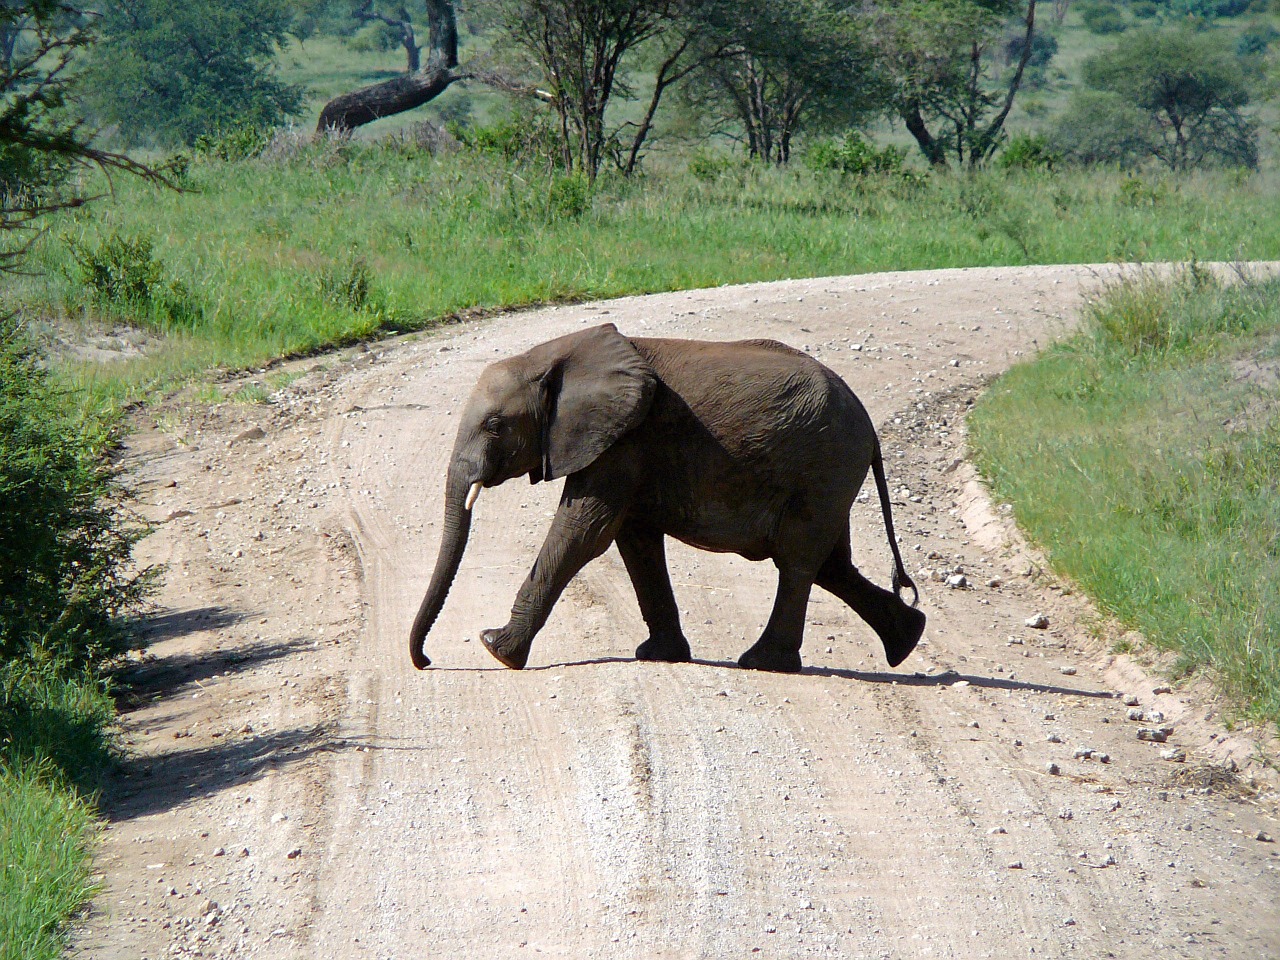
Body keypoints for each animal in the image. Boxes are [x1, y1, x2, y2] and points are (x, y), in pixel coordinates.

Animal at [409, 323, 921, 675]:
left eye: (495, 426)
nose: (427, 661)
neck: (555, 353)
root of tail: (869, 425)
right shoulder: (626, 448)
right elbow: (635, 543)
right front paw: (659, 656)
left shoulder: (622, 441)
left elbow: (582, 533)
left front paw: (494, 648)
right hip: (829, 477)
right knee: (831, 564)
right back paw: (907, 640)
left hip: (824, 467)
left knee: (797, 561)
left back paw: (762, 662)